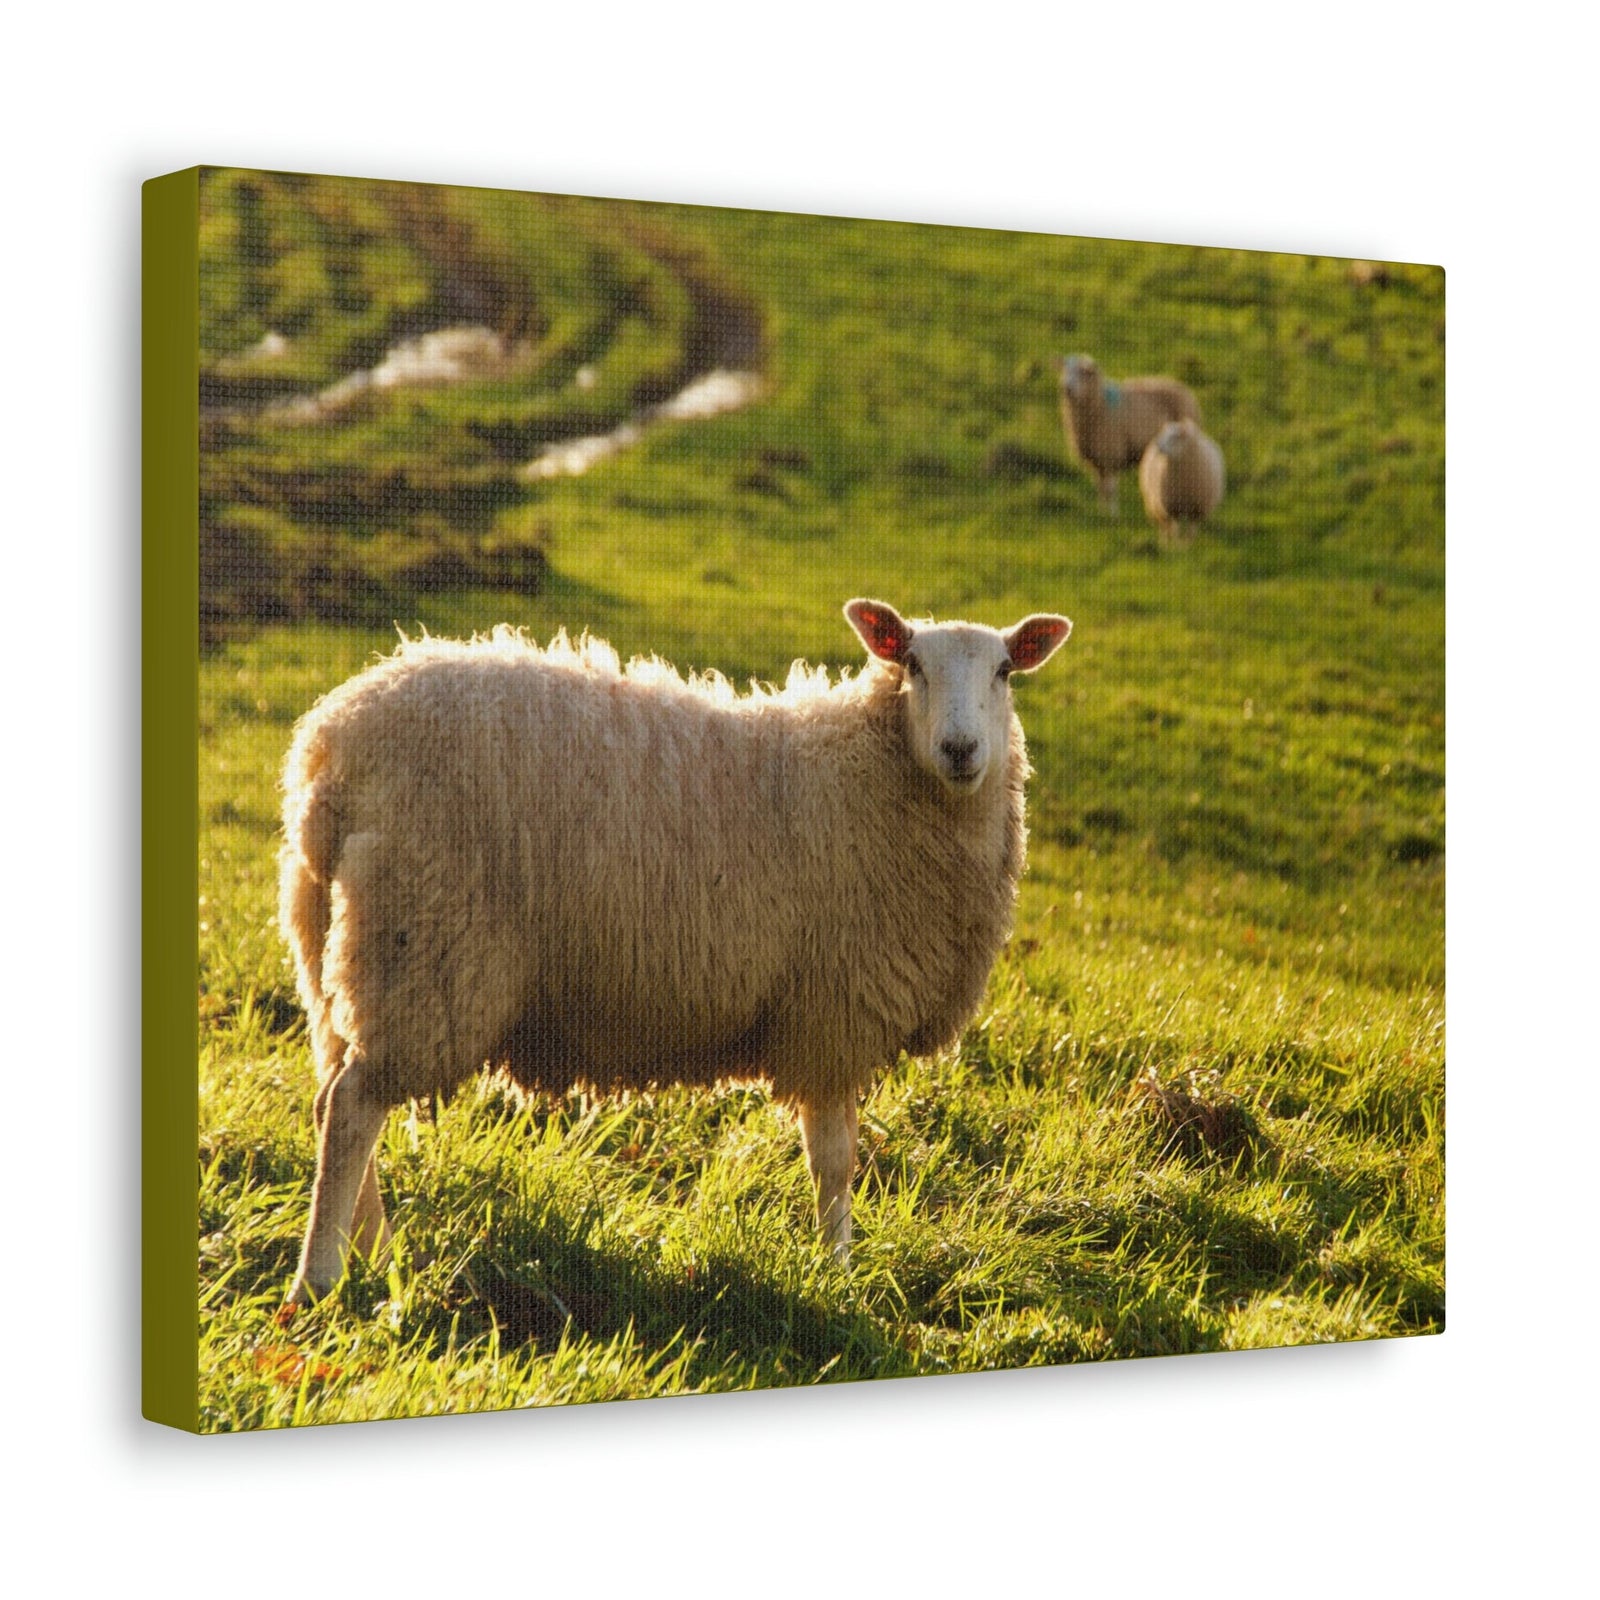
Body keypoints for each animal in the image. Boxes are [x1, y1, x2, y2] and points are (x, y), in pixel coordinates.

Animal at [280, 599, 1073, 1303]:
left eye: (1005, 670)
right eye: (911, 663)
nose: (961, 750)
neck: (872, 771)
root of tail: (330, 748)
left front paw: (836, 1265)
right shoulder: (832, 1011)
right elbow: (835, 1159)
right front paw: (838, 1273)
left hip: (334, 950)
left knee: (331, 1097)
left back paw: (376, 1254)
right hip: (424, 946)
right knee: (353, 1108)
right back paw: (320, 1279)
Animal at [1055, 354, 1200, 511]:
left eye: (1083, 372)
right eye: (1065, 370)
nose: (1066, 388)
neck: (1100, 405)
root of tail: (1181, 387)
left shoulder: (1110, 456)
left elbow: (1110, 489)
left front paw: (1112, 512)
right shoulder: (1097, 461)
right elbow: (1101, 487)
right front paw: (1101, 511)